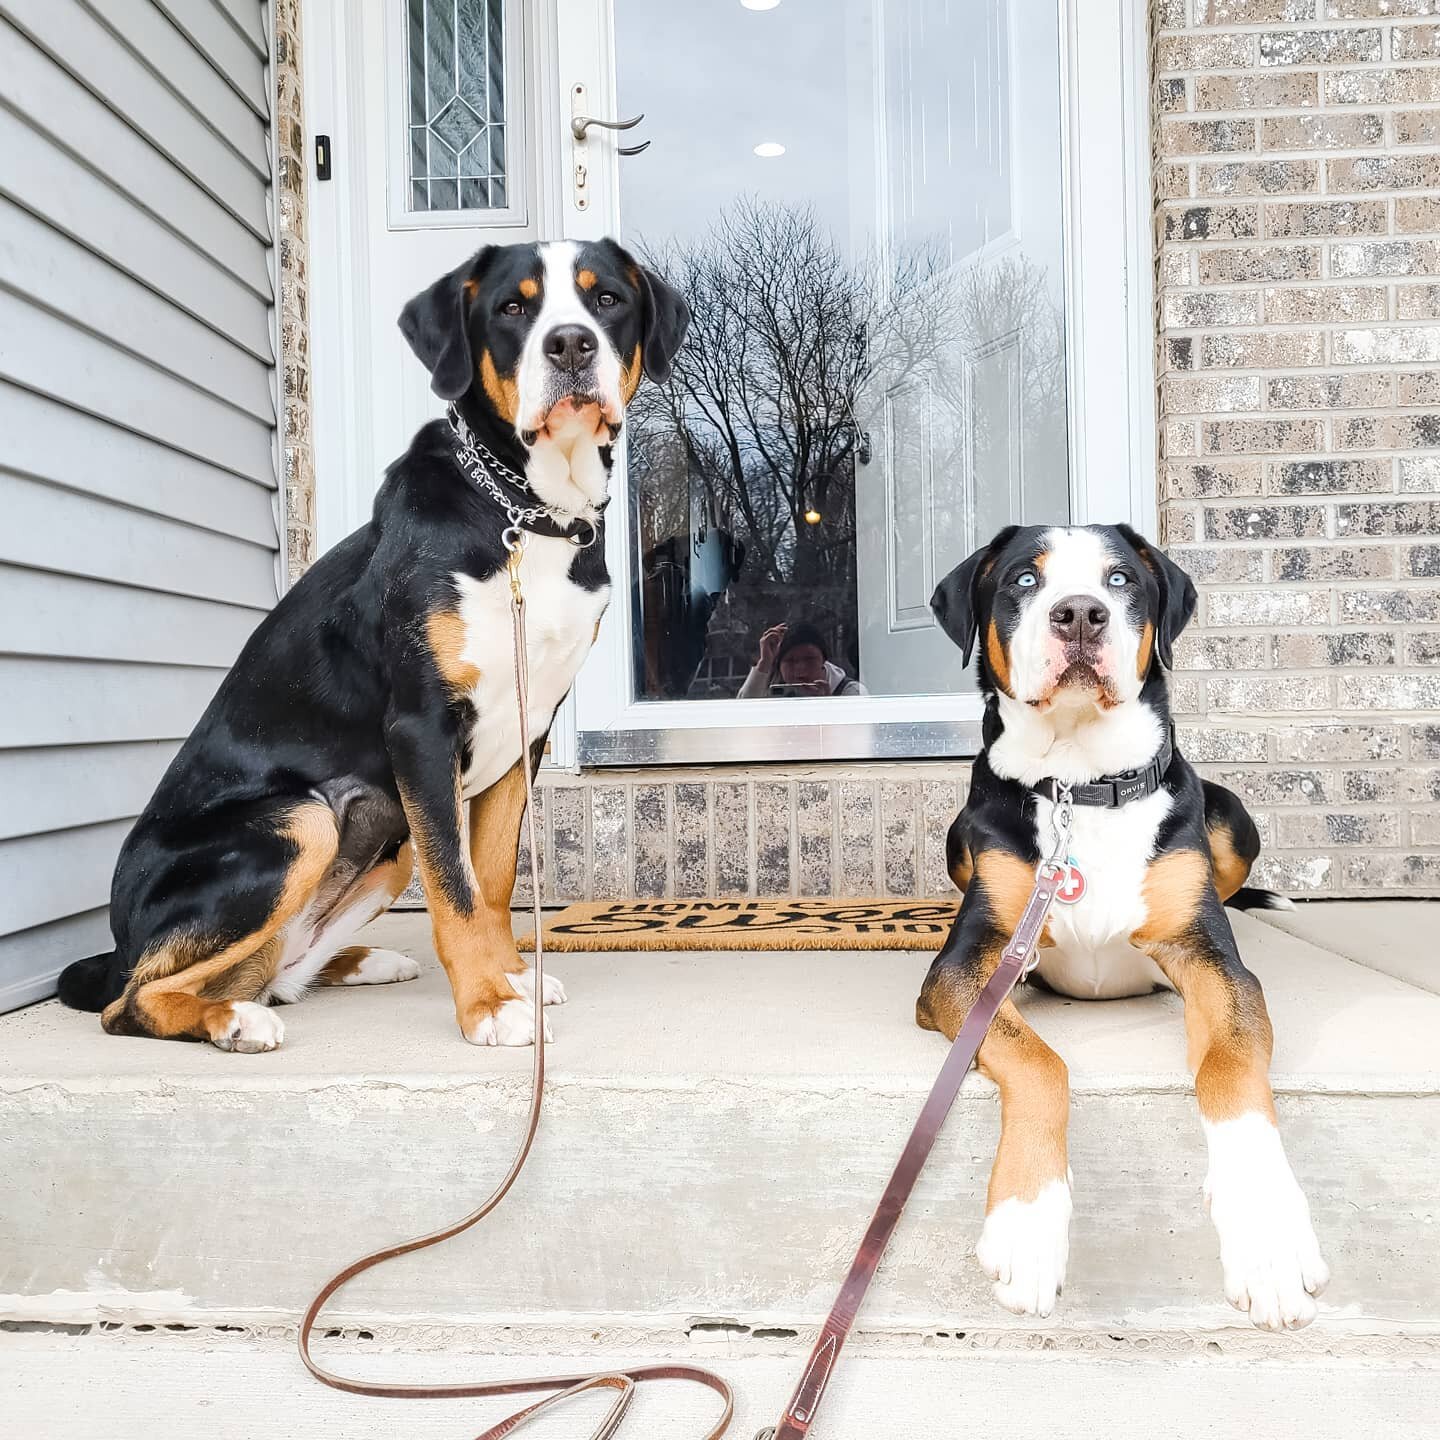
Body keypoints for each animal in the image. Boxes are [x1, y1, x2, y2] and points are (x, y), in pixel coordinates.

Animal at [56, 236, 685, 1048]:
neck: (523, 516)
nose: (571, 344)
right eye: (513, 308)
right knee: (131, 999)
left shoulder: (525, 732)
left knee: (274, 968)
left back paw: (352, 964)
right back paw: (234, 1020)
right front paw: (487, 1003)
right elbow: (456, 889)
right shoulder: (421, 728)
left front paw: (512, 979)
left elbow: (491, 878)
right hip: (303, 820)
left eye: (605, 298)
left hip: (386, 837)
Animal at [915, 529, 1330, 1336]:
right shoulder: (966, 966)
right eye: (1023, 579)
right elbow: (1040, 1061)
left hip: (1233, 817)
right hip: (956, 840)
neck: (1081, 788)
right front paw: (1030, 1223)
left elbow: (1231, 1064)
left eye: (1119, 579)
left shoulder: (1210, 959)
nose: (1080, 613)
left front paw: (1266, 1232)